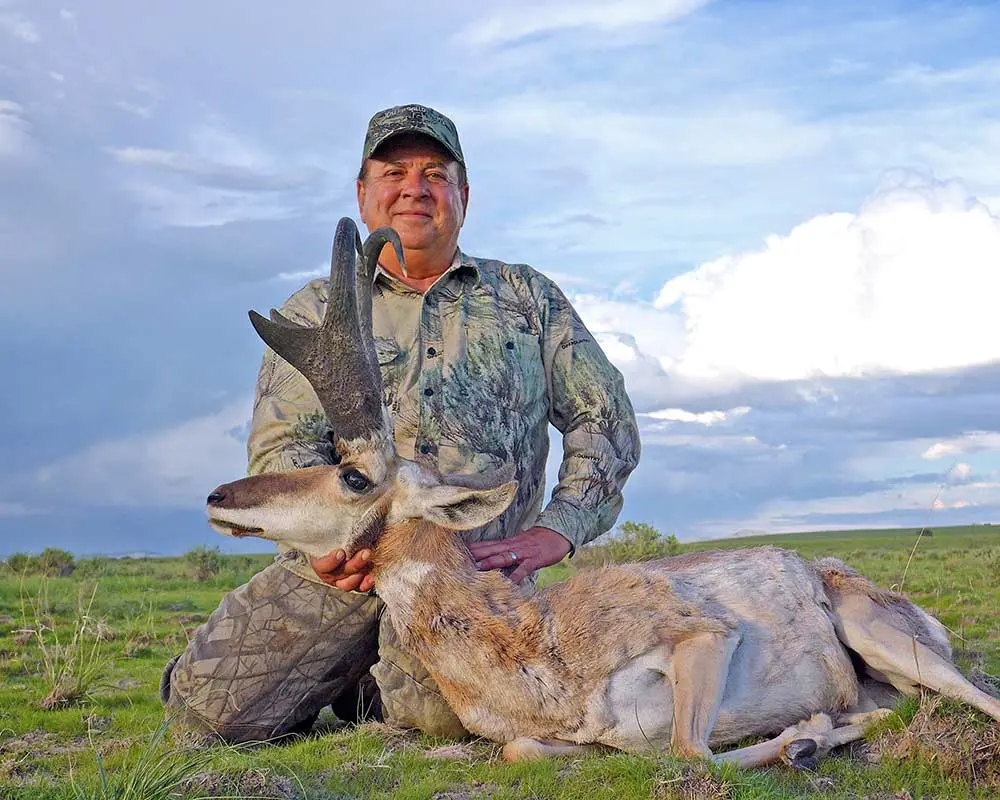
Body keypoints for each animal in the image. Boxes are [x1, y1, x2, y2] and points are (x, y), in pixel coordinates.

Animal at [205, 217, 1000, 768]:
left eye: (353, 474)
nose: (217, 496)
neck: (533, 643)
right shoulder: (545, 740)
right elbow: (530, 750)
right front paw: (811, 733)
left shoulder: (703, 638)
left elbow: (688, 752)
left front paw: (802, 735)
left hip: (881, 633)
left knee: (976, 699)